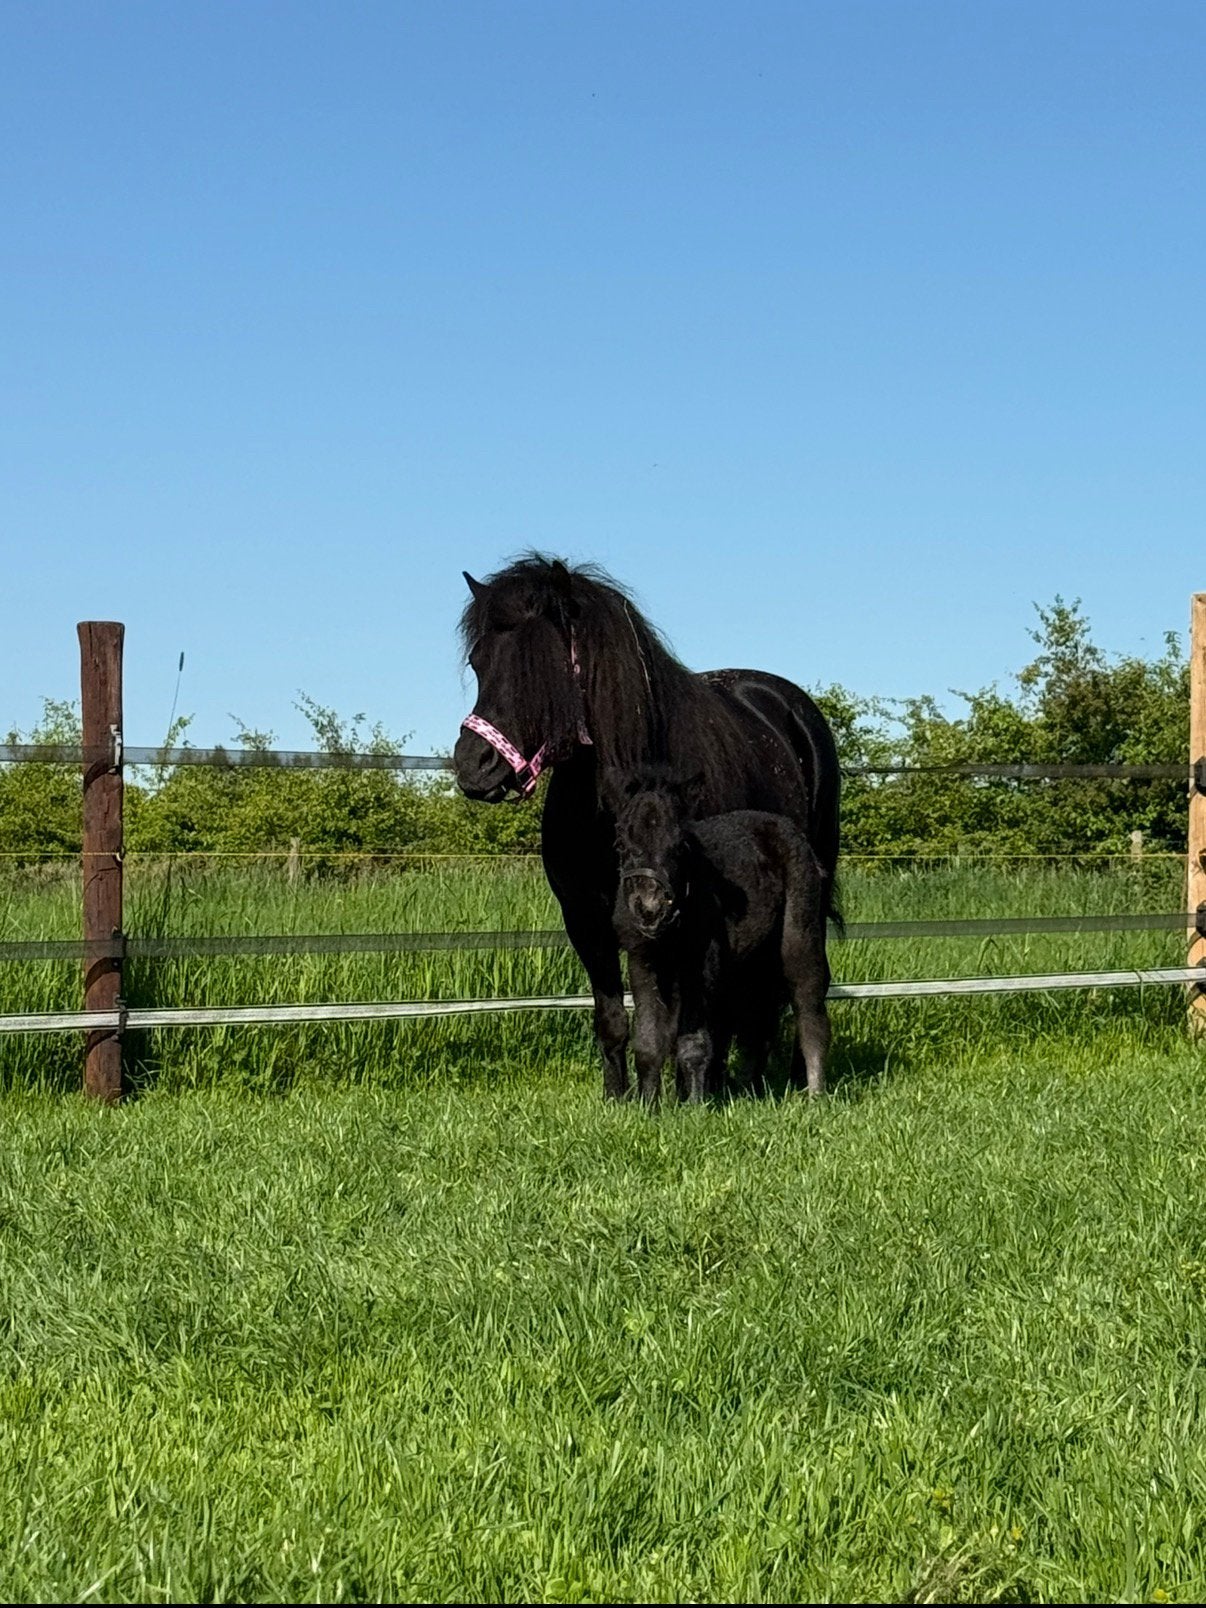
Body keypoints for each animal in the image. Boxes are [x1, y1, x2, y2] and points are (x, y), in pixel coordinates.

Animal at [609, 773, 831, 1103]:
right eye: (621, 842)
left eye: (680, 846)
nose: (651, 909)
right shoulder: (643, 961)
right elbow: (648, 1043)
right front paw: (648, 1105)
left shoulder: (701, 966)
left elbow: (694, 1042)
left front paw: (694, 1105)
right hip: (750, 960)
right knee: (758, 1016)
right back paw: (750, 1090)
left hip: (799, 928)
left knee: (808, 999)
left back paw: (815, 1093)